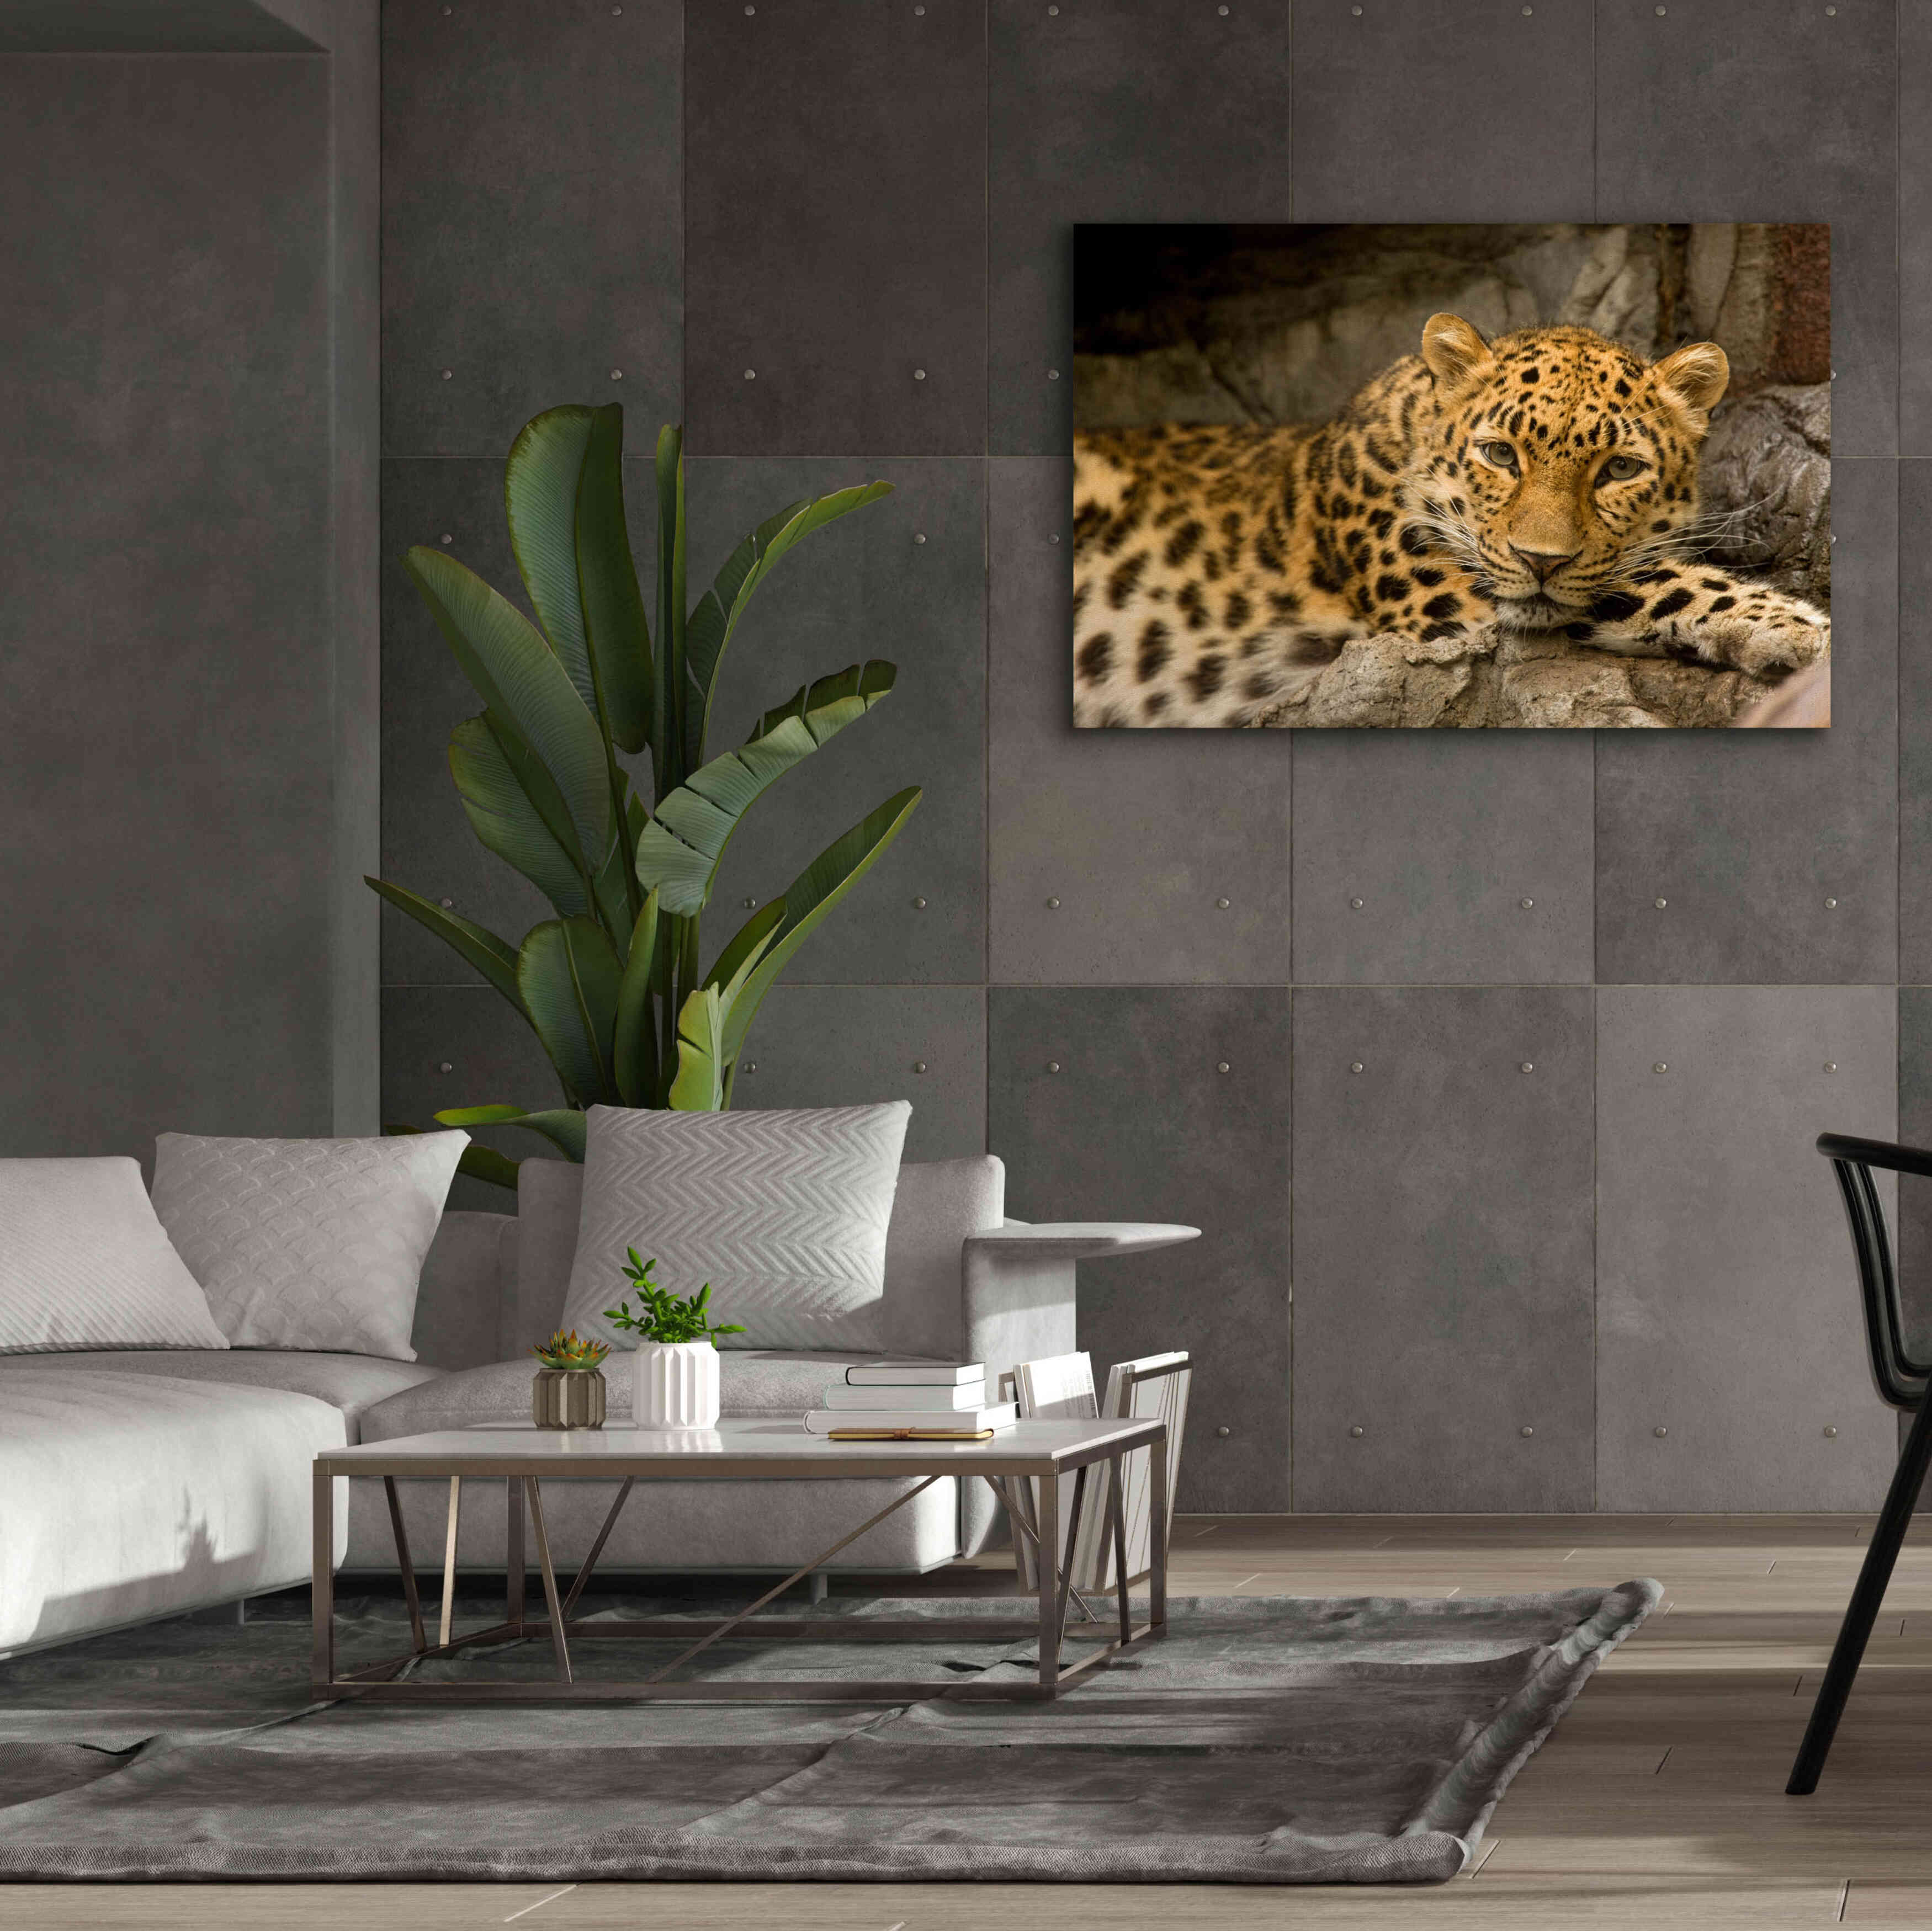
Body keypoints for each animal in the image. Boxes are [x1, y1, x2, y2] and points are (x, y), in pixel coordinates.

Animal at [1071, 313, 1829, 728]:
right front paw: (1801, 628)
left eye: (1618, 469)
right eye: (1499, 454)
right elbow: (1659, 580)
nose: (1540, 559)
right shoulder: (1451, 594)